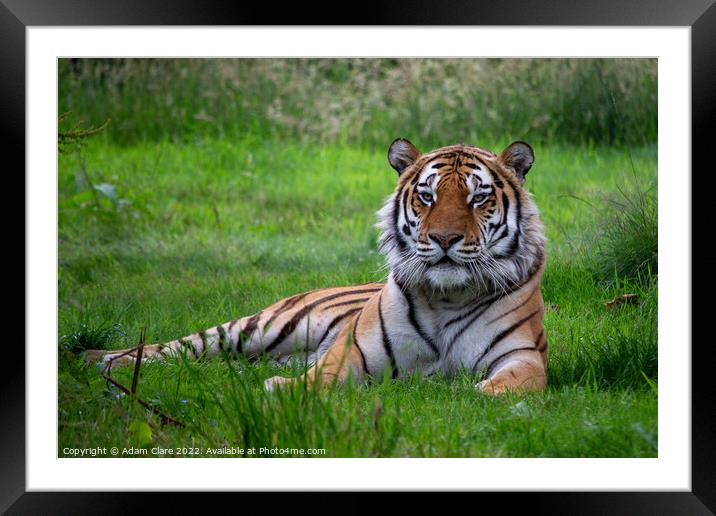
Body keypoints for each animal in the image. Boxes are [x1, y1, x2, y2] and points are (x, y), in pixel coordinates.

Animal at [86, 138, 552, 396]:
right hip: (259, 328)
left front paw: (480, 392)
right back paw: (106, 361)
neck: (448, 297)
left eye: (478, 198)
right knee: (177, 348)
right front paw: (286, 390)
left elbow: (513, 384)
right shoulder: (355, 351)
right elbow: (322, 376)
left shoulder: (521, 355)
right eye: (427, 196)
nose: (444, 239)